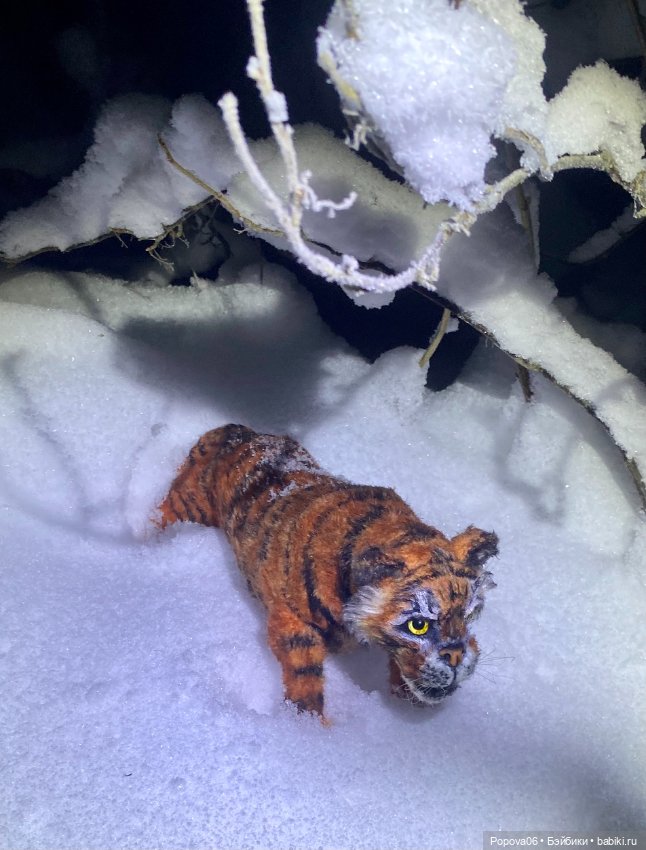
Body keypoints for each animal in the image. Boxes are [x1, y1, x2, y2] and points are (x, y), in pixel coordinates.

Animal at [157, 424, 498, 719]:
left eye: (469, 615)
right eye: (418, 625)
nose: (456, 657)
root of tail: (237, 430)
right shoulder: (291, 621)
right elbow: (305, 673)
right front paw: (309, 725)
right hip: (187, 505)